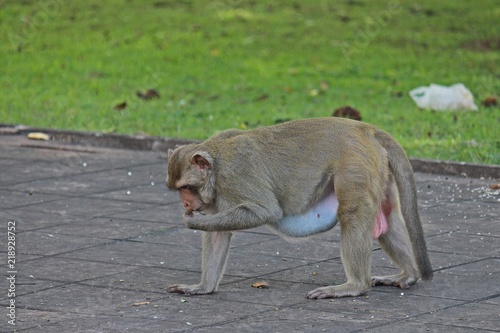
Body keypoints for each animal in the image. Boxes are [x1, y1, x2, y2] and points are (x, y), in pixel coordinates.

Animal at [166, 117, 432, 298]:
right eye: (179, 189)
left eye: (187, 187)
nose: (186, 203)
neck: (216, 162)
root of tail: (366, 129)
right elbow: (218, 235)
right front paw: (202, 287)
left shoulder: (235, 176)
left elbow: (266, 211)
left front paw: (195, 221)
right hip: (378, 168)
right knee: (387, 218)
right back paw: (407, 274)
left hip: (355, 165)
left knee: (352, 215)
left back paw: (354, 286)